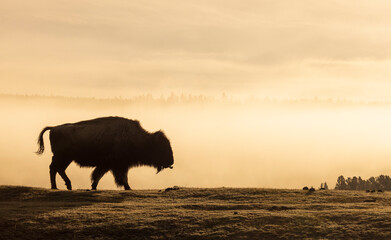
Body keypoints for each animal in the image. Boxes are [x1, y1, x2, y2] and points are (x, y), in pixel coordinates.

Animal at [36, 117, 175, 190]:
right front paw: (128, 188)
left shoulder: (108, 165)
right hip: (62, 157)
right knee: (54, 168)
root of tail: (54, 128)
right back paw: (56, 187)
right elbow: (122, 177)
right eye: (161, 147)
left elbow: (98, 175)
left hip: (67, 158)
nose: (171, 161)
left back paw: (67, 186)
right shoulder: (118, 165)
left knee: (58, 169)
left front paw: (93, 187)